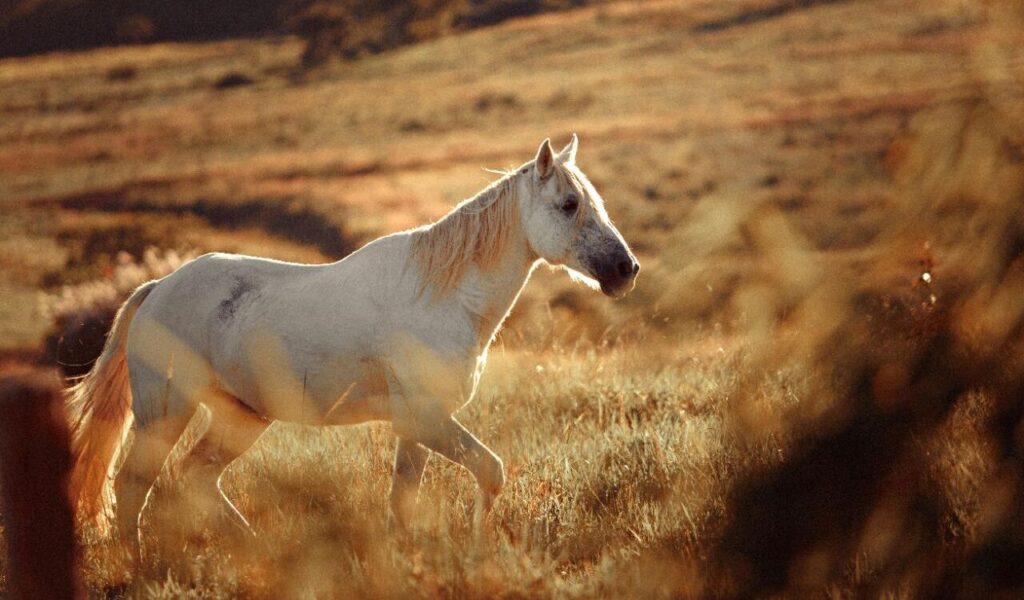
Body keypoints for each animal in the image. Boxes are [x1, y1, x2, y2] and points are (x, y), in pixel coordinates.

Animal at [65, 135, 640, 551]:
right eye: (568, 204)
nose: (625, 270)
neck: (442, 296)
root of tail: (157, 288)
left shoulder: (416, 428)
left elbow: (403, 501)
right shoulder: (425, 419)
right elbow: (491, 472)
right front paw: (480, 545)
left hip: (240, 418)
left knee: (195, 478)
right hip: (165, 412)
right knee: (133, 487)